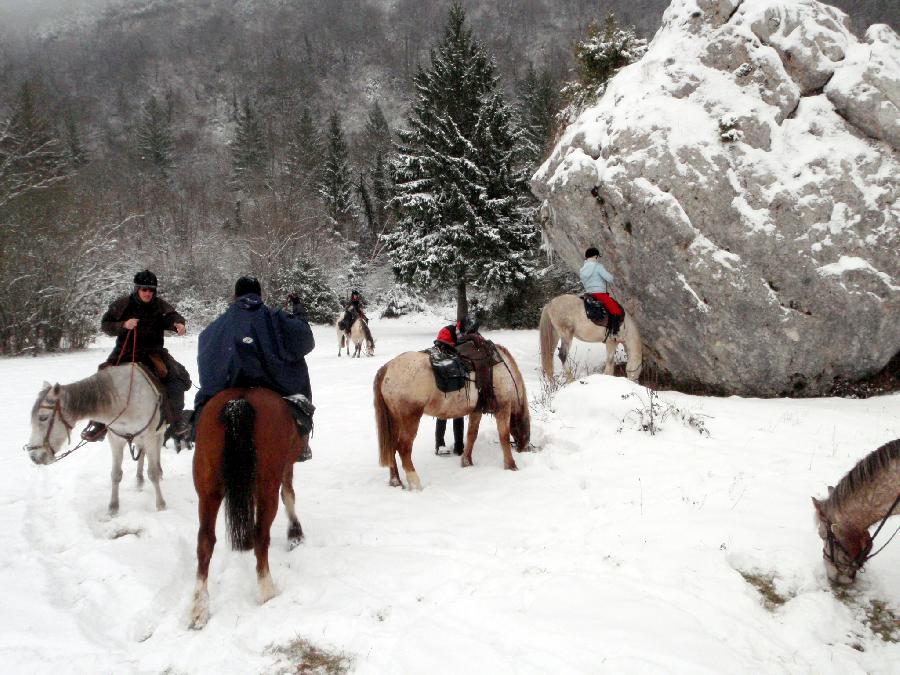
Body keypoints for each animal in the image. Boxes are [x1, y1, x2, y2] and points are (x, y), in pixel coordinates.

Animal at [25, 368, 167, 516]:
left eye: (43, 417)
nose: (33, 456)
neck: (123, 402)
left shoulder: (149, 437)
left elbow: (153, 473)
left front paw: (161, 505)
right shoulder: (115, 440)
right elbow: (115, 474)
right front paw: (113, 507)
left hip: (158, 434)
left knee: (157, 450)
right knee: (141, 452)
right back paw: (139, 481)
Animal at [188, 388, 308, 632]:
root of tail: (238, 401)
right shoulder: (285, 467)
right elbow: (289, 494)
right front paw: (295, 534)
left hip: (208, 489)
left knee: (205, 540)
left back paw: (199, 608)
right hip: (267, 484)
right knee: (262, 534)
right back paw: (267, 591)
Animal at [370, 344, 528, 492]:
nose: (523, 448)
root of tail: (387, 368)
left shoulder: (476, 411)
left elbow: (471, 435)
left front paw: (467, 462)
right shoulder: (503, 408)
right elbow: (504, 437)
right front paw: (511, 465)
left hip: (394, 421)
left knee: (391, 447)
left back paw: (395, 481)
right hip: (410, 419)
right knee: (404, 448)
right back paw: (416, 484)